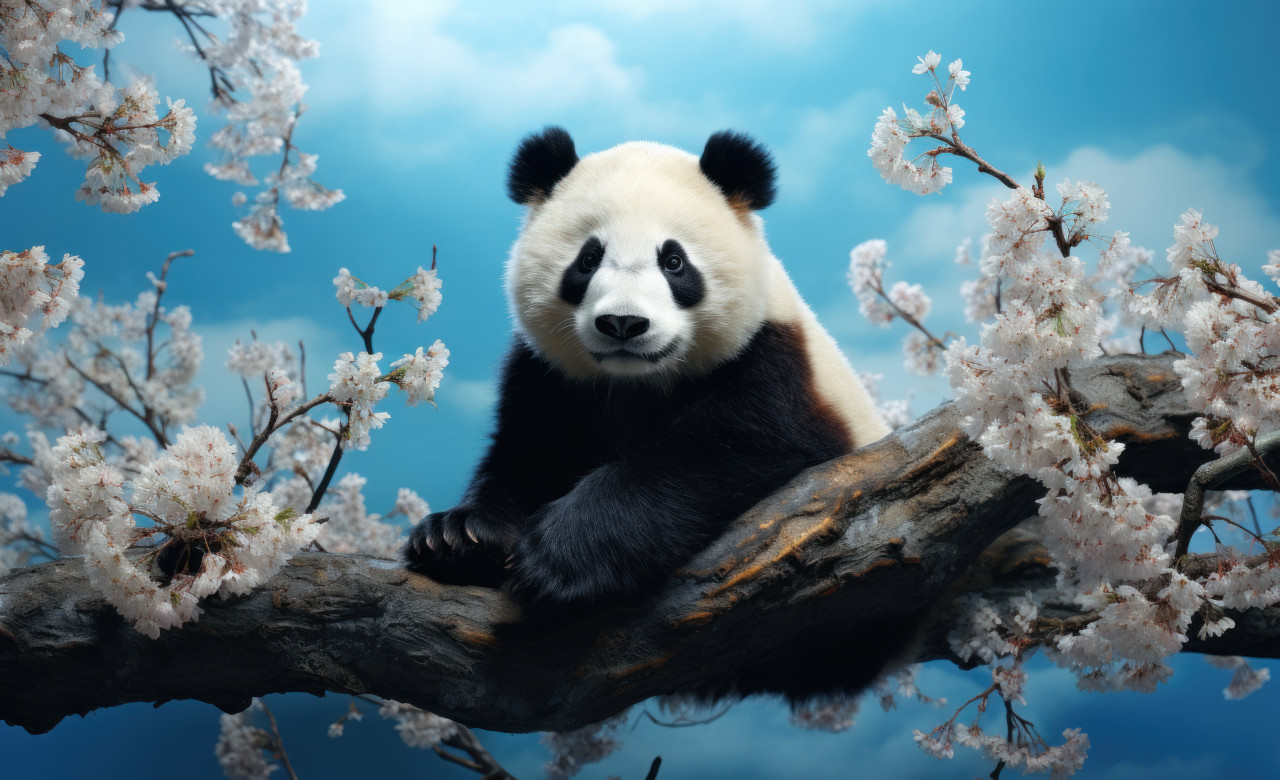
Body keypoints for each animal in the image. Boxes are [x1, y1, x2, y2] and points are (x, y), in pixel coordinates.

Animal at [404, 127, 889, 607]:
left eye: (674, 262)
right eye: (588, 259)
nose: (623, 322)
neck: (634, 382)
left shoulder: (774, 366)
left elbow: (723, 452)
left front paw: (561, 555)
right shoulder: (549, 376)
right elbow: (527, 449)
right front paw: (456, 537)